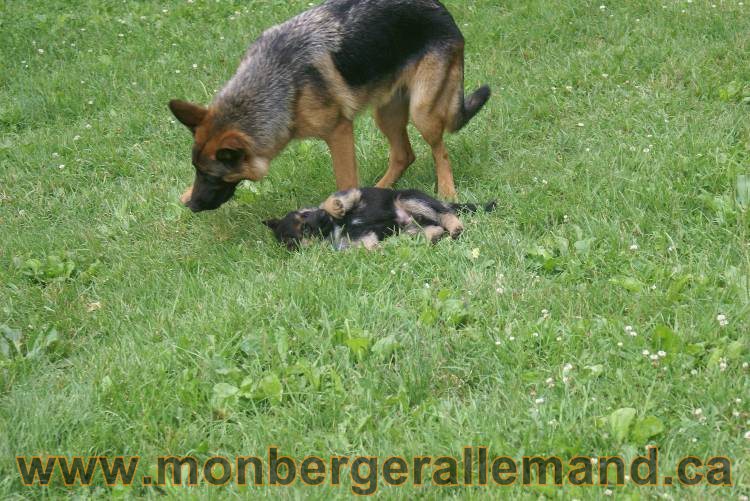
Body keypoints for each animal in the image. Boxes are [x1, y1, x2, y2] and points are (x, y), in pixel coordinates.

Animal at [169, 0, 494, 211]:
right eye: (197, 171)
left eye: (212, 176)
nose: (192, 206)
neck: (277, 80)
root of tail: (443, 10)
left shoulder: (339, 132)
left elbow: (345, 179)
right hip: (385, 113)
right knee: (404, 154)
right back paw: (379, 191)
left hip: (422, 112)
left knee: (440, 152)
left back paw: (447, 190)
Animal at [266, 186, 500, 250]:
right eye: (305, 231)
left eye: (305, 214)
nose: (322, 216)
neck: (336, 227)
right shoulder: (358, 241)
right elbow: (369, 246)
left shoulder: (356, 193)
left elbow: (333, 198)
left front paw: (334, 206)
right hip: (411, 227)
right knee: (434, 228)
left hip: (408, 198)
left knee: (445, 213)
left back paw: (455, 226)